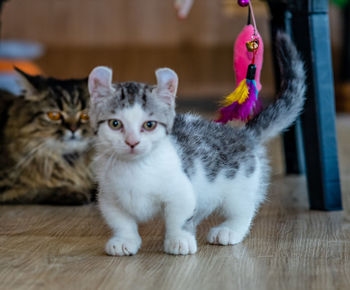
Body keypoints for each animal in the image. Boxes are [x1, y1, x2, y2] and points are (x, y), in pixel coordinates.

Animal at [0, 68, 95, 204]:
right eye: (54, 115)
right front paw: (75, 192)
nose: (73, 129)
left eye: (85, 115)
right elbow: (37, 190)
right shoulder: (7, 185)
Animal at [89, 32, 304, 256]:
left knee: (243, 209)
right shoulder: (108, 197)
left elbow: (179, 217)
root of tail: (243, 133)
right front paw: (125, 240)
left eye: (149, 125)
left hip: (242, 182)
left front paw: (178, 240)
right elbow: (121, 221)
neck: (135, 170)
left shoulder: (181, 190)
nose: (132, 142)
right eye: (115, 124)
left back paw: (229, 230)